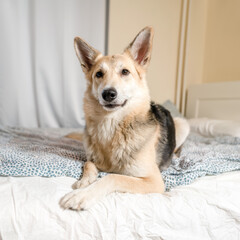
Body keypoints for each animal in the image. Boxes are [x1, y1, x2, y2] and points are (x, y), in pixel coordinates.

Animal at [60, 26, 189, 210]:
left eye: (125, 72)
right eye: (99, 74)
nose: (108, 93)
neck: (111, 126)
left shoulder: (154, 181)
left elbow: (113, 177)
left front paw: (82, 195)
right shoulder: (92, 159)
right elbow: (88, 163)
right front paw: (85, 180)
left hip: (183, 124)